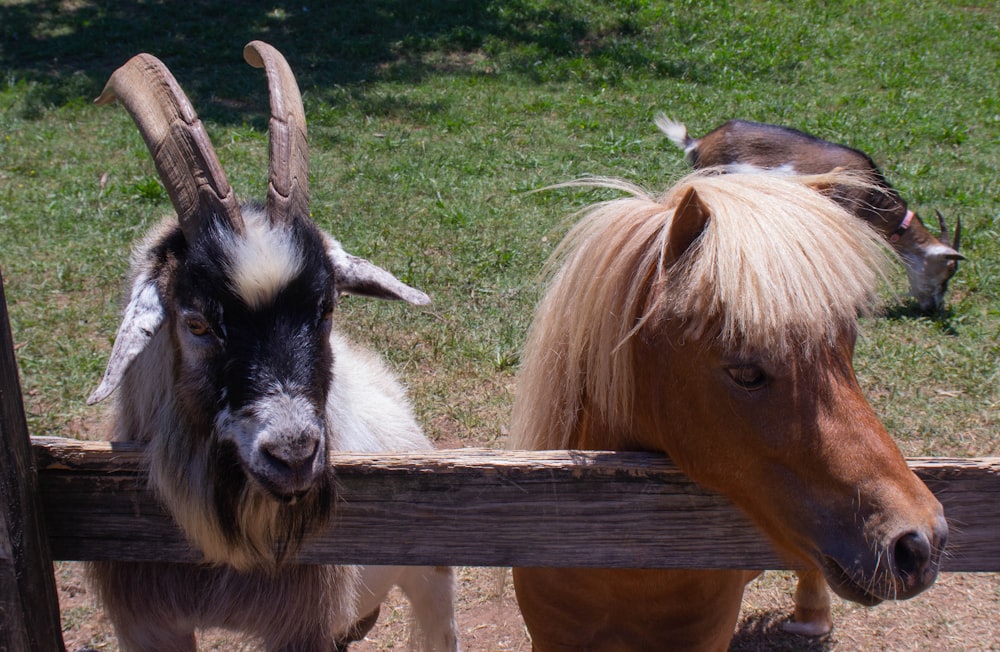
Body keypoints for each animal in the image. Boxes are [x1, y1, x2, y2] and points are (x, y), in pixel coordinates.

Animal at [86, 42, 460, 652]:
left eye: (327, 308)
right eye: (196, 323)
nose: (294, 456)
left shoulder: (302, 624)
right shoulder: (145, 618)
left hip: (429, 574)